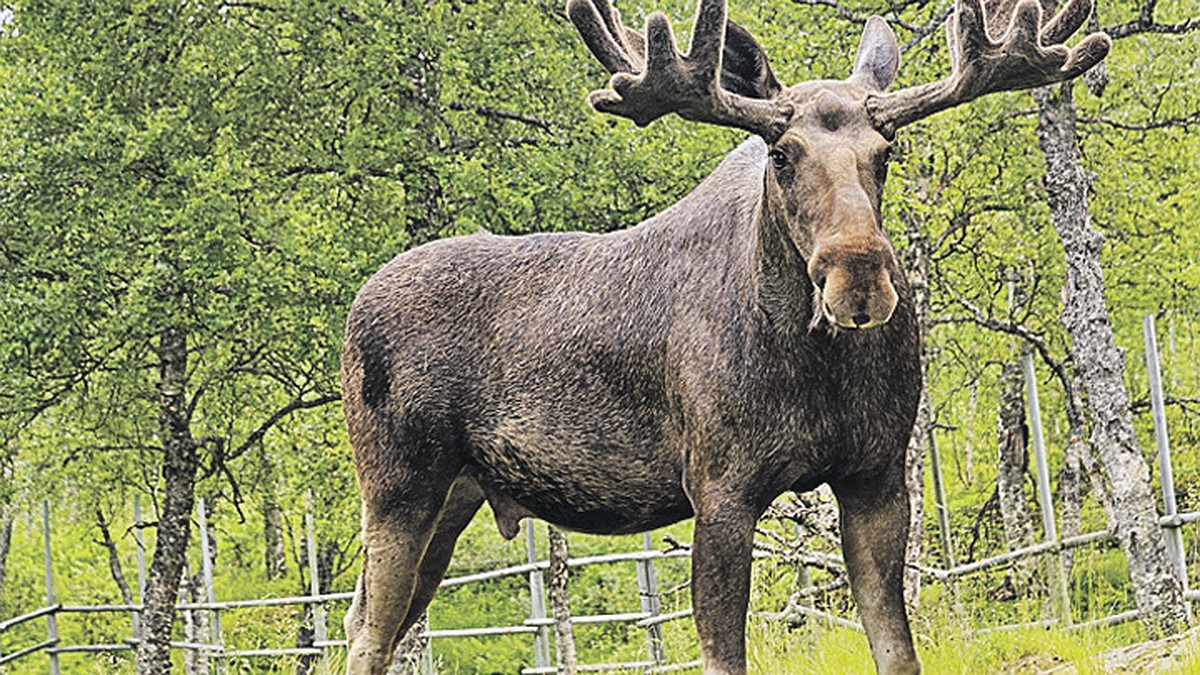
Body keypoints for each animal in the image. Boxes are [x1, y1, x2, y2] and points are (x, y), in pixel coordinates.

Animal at [338, 0, 1104, 667]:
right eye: (782, 153)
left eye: (886, 151)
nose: (858, 277)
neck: (815, 367)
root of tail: (356, 307)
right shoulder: (720, 486)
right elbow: (722, 653)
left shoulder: (877, 475)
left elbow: (896, 649)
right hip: (397, 484)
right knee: (368, 631)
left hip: (455, 493)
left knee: (373, 620)